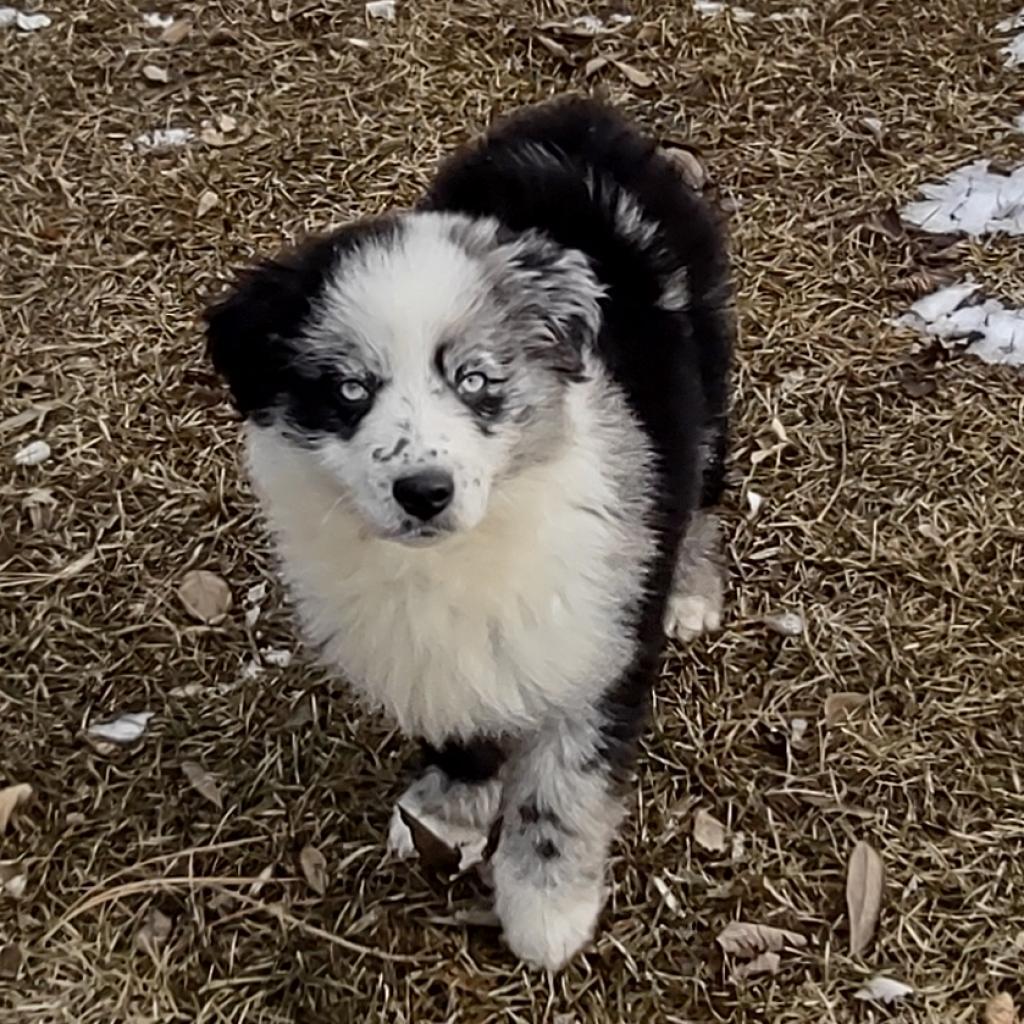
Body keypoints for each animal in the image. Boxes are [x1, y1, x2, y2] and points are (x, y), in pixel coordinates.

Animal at [203, 99, 733, 970]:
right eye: (349, 391)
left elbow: (563, 785)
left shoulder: (599, 642)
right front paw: (449, 813)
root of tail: (577, 118)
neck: (453, 556)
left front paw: (547, 909)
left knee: (705, 485)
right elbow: (458, 722)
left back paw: (691, 591)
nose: (424, 491)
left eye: (476, 380)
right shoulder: (432, 650)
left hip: (711, 377)